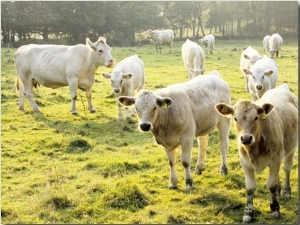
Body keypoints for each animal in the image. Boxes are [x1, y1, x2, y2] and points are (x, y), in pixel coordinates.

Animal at [216, 83, 298, 224]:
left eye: (256, 118)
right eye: (235, 118)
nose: (246, 138)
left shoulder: (275, 159)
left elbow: (271, 185)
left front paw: (275, 209)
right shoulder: (245, 163)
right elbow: (250, 188)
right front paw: (248, 212)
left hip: (290, 150)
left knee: (287, 169)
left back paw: (286, 192)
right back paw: (279, 190)